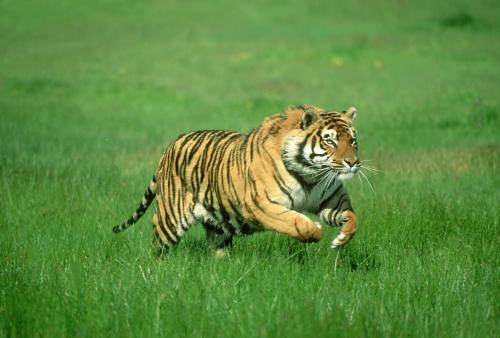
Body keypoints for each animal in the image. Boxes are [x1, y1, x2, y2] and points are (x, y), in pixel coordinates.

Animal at [113, 105, 362, 254]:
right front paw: (315, 231)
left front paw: (341, 239)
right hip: (170, 219)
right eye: (329, 141)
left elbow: (352, 217)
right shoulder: (260, 204)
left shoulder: (331, 199)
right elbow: (292, 220)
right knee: (157, 246)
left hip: (218, 227)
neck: (311, 174)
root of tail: (170, 146)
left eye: (352, 140)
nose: (352, 162)